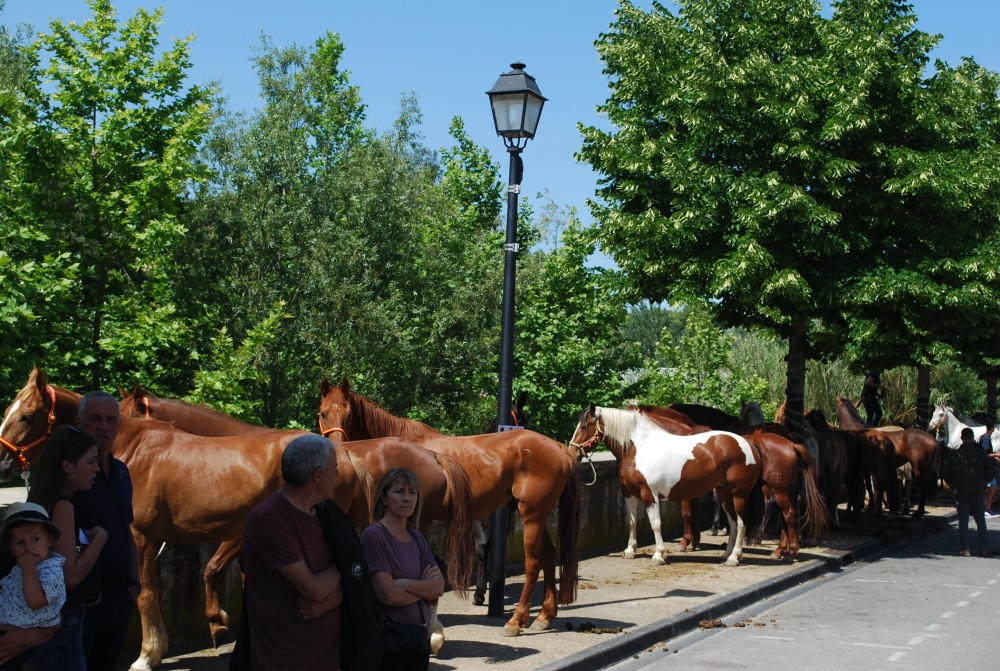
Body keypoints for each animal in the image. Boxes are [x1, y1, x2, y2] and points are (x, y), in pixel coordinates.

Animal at [2, 370, 376, 671]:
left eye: (27, 416)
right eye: (8, 412)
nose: (3, 462)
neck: (134, 449)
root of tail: (344, 454)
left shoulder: (142, 537)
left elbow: (146, 595)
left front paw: (148, 654)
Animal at [117, 388, 476, 652]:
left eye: (124, 415)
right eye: (322, 412)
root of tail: (433, 456)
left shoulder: (238, 533)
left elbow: (212, 568)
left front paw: (217, 622)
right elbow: (233, 576)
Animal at [318, 378, 584, 640]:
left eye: (349, 414)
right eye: (323, 413)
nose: (335, 447)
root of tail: (558, 448)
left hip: (532, 515)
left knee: (534, 561)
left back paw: (516, 620)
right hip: (537, 514)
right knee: (549, 554)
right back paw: (544, 616)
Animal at [572, 404, 764, 568]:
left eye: (584, 427)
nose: (573, 452)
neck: (639, 448)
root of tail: (749, 444)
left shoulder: (650, 494)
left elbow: (656, 524)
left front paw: (658, 556)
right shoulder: (629, 494)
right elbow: (632, 522)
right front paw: (630, 551)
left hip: (739, 493)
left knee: (741, 523)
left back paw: (734, 558)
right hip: (725, 493)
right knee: (733, 522)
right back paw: (726, 555)